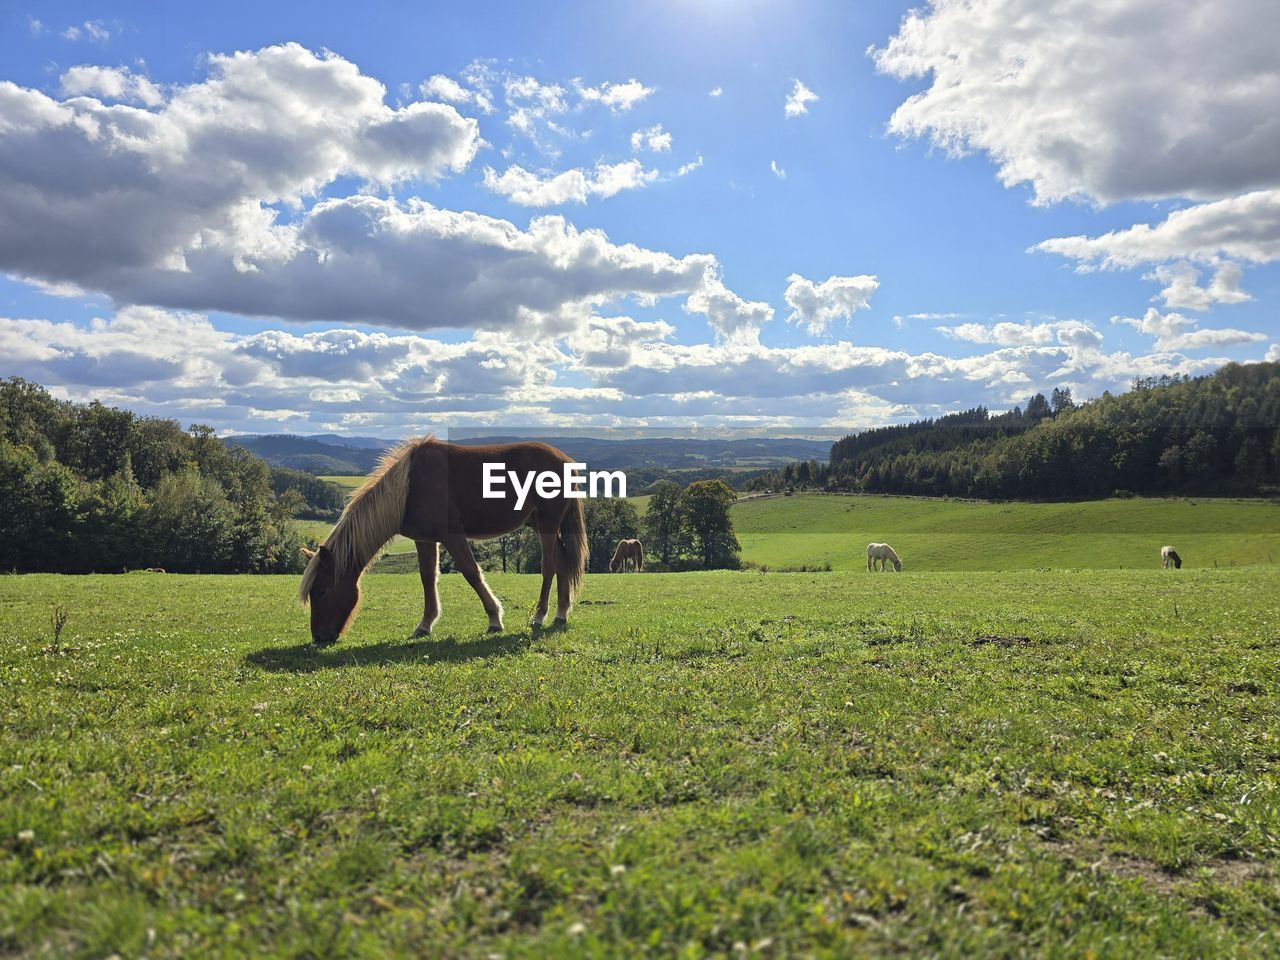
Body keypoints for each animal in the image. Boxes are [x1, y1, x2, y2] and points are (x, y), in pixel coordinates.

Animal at [300, 436, 587, 647]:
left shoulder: (453, 536)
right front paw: (425, 625)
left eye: (322, 591)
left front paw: (494, 619)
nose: (319, 638)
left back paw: (539, 616)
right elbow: (428, 578)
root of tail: (566, 461)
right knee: (562, 561)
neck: (408, 489)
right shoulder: (425, 539)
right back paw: (561, 614)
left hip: (548, 525)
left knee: (549, 566)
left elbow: (471, 573)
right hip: (540, 525)